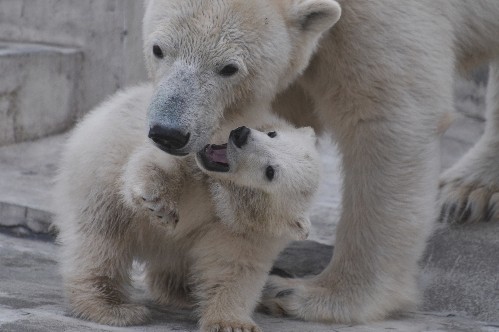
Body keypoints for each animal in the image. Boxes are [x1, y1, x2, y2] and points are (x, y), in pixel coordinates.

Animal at [143, 0, 499, 322]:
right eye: (158, 49)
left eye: (229, 68)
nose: (169, 132)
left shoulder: (381, 18)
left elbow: (387, 121)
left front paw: (308, 294)